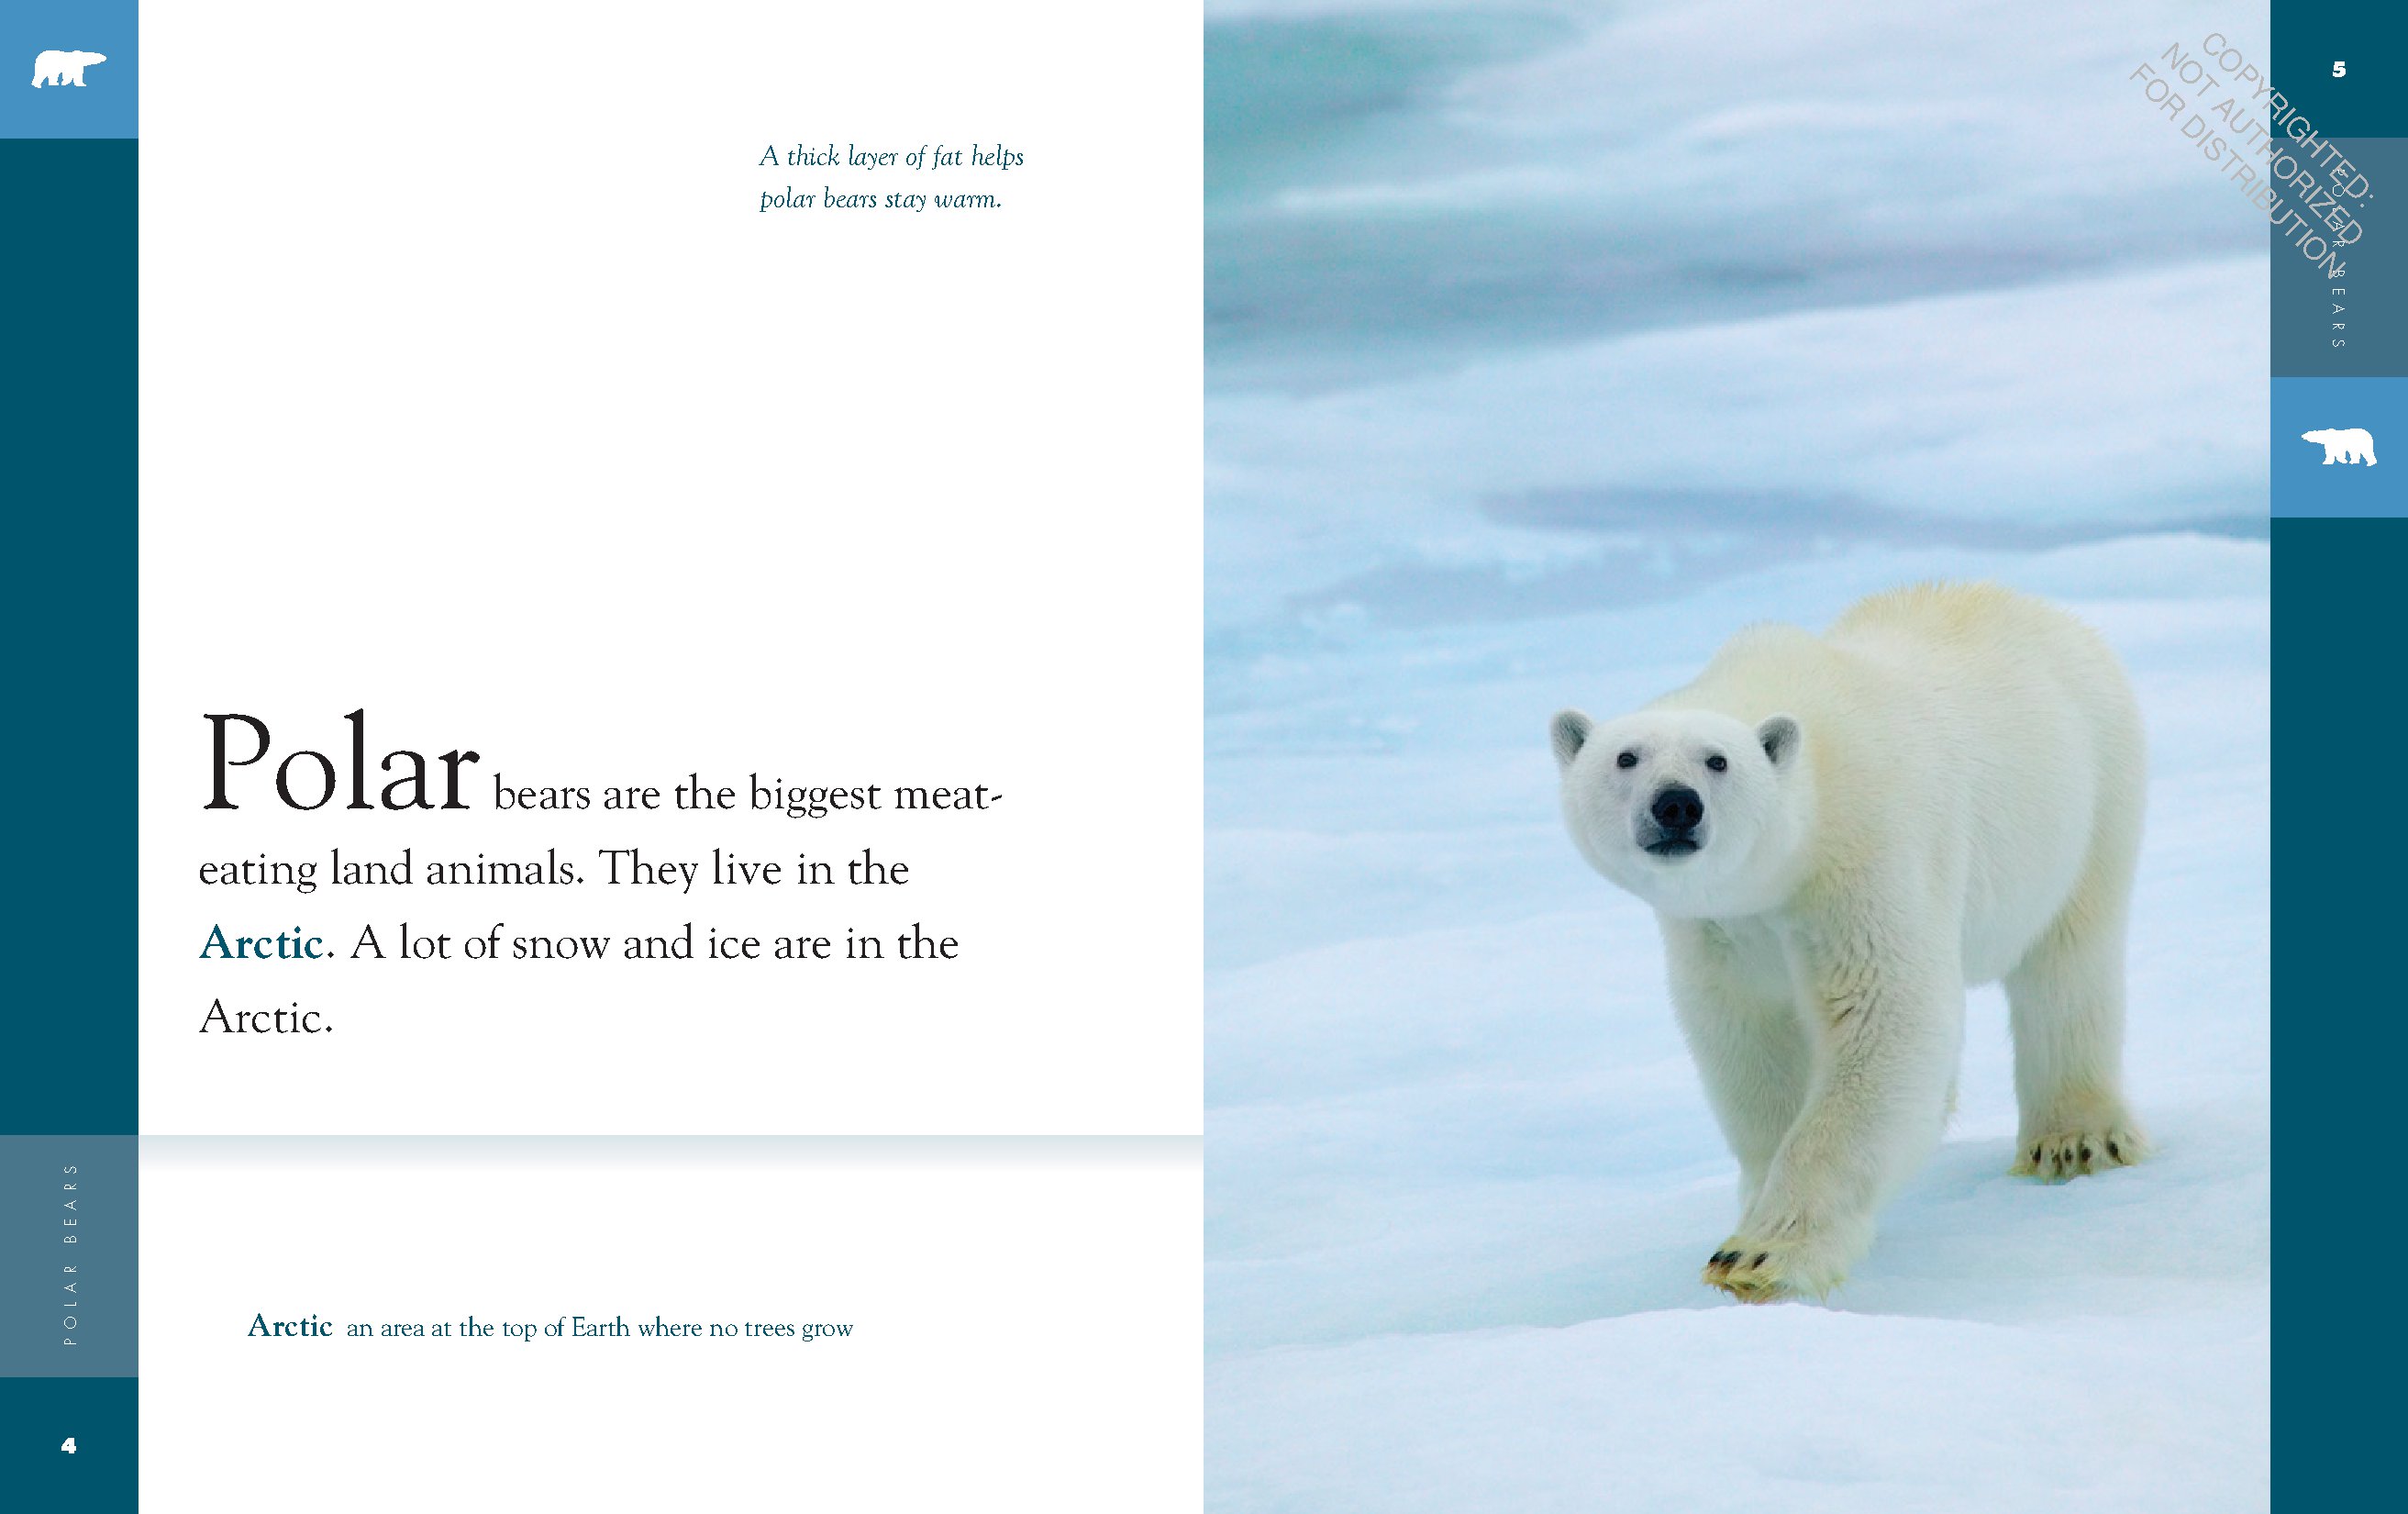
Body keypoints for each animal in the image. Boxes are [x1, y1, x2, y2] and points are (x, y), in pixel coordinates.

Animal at [1552, 582, 2147, 1302]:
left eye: (1718, 760)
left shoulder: (1868, 852)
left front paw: (1761, 1256)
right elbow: (1746, 1038)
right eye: (1626, 756)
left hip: (2090, 794)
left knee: (2066, 965)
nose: (1676, 805)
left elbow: (1887, 1016)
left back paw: (2073, 1140)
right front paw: (1757, 1204)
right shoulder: (1723, 927)